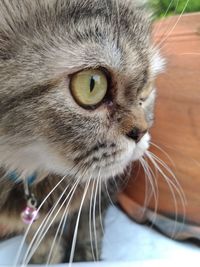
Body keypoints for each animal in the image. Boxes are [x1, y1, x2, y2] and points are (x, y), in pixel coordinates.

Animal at [0, 0, 162, 264]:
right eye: (91, 84)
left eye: (146, 86)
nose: (141, 132)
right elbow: (39, 233)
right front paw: (45, 256)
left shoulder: (103, 186)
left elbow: (90, 222)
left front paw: (84, 255)